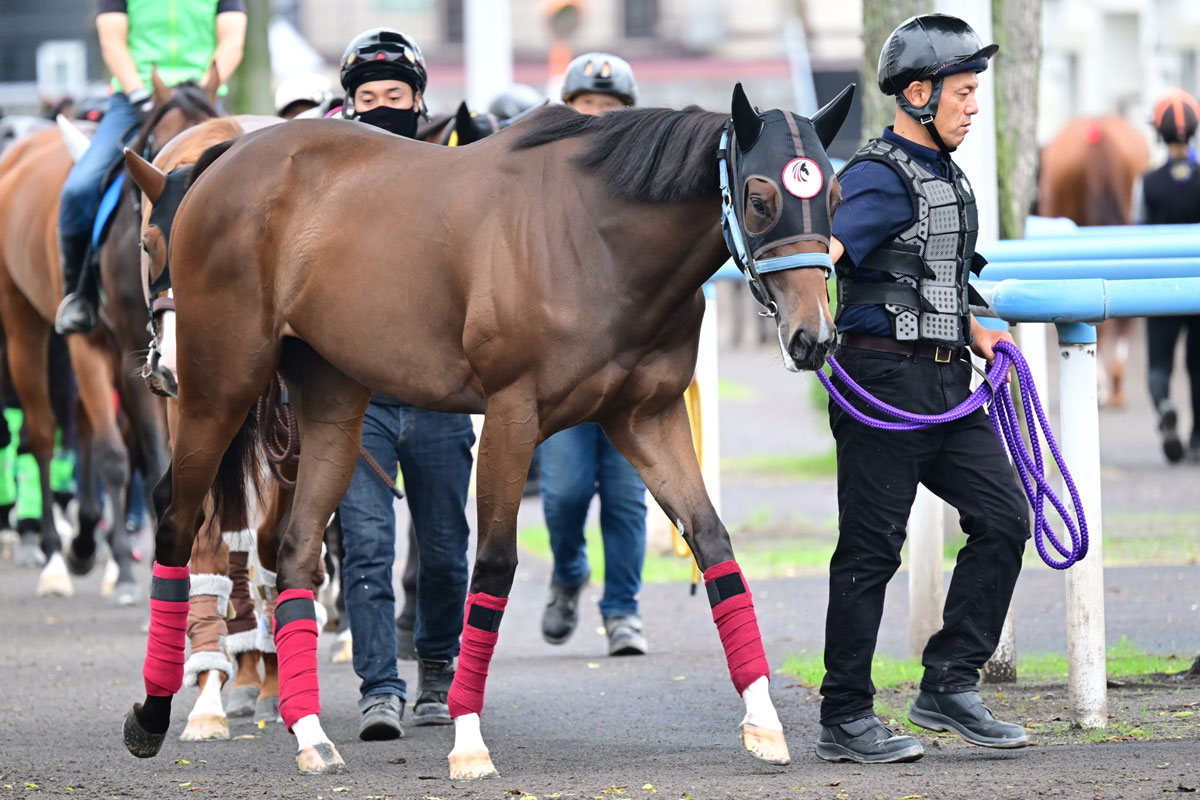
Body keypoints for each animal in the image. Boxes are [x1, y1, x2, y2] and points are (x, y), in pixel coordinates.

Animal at [120, 83, 852, 777]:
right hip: (219, 388)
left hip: (330, 401)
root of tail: (226, 159)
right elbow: (495, 566)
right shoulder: (511, 414)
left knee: (297, 549)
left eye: (835, 192)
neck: (597, 238)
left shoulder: (648, 418)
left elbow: (712, 543)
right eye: (759, 199)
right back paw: (156, 712)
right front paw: (468, 741)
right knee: (177, 519)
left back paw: (309, 733)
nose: (813, 338)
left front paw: (764, 721)